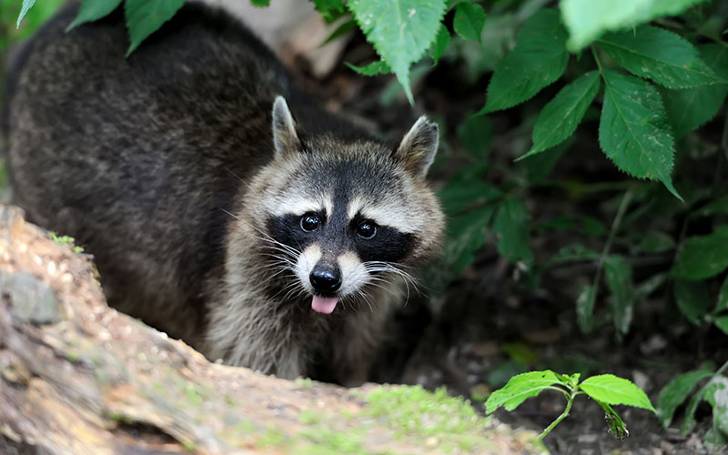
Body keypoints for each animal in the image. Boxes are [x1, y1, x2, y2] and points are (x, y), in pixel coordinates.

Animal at [4, 2, 444, 384]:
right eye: (310, 220)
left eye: (366, 228)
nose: (324, 280)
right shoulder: (243, 273)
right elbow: (254, 359)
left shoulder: (372, 294)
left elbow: (353, 350)